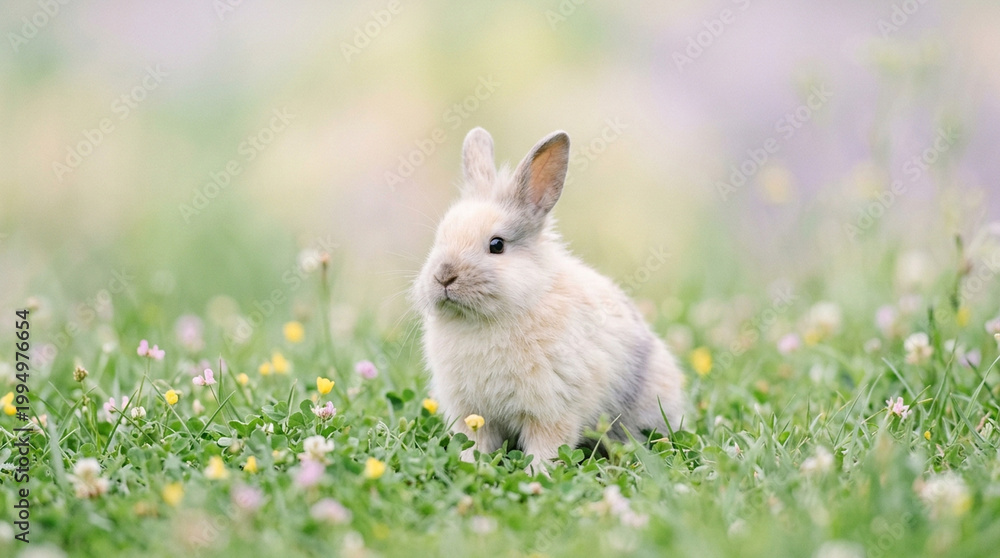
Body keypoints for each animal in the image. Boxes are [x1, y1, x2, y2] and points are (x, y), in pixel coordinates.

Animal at [412, 127, 688, 471]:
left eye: (497, 245)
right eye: (440, 238)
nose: (444, 276)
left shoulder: (551, 412)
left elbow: (546, 447)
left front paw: (536, 474)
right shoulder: (472, 414)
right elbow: (474, 444)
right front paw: (471, 465)